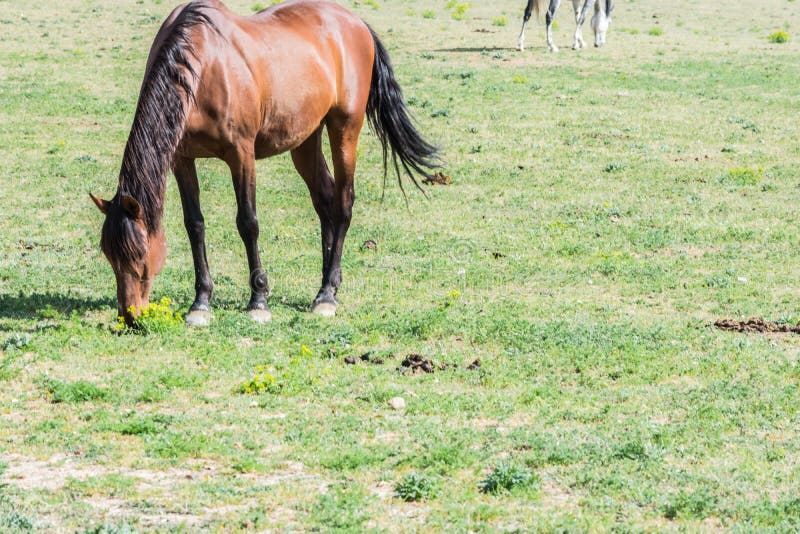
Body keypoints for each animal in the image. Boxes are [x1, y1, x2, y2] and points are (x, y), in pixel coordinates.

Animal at [90, 0, 439, 327]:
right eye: (108, 254)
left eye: (139, 254)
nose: (130, 315)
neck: (203, 67)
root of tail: (357, 24)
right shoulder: (182, 159)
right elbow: (195, 225)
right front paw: (201, 302)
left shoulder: (241, 155)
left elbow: (248, 223)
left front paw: (258, 300)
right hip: (305, 139)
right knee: (325, 199)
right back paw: (326, 284)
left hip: (345, 129)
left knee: (343, 203)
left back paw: (327, 294)